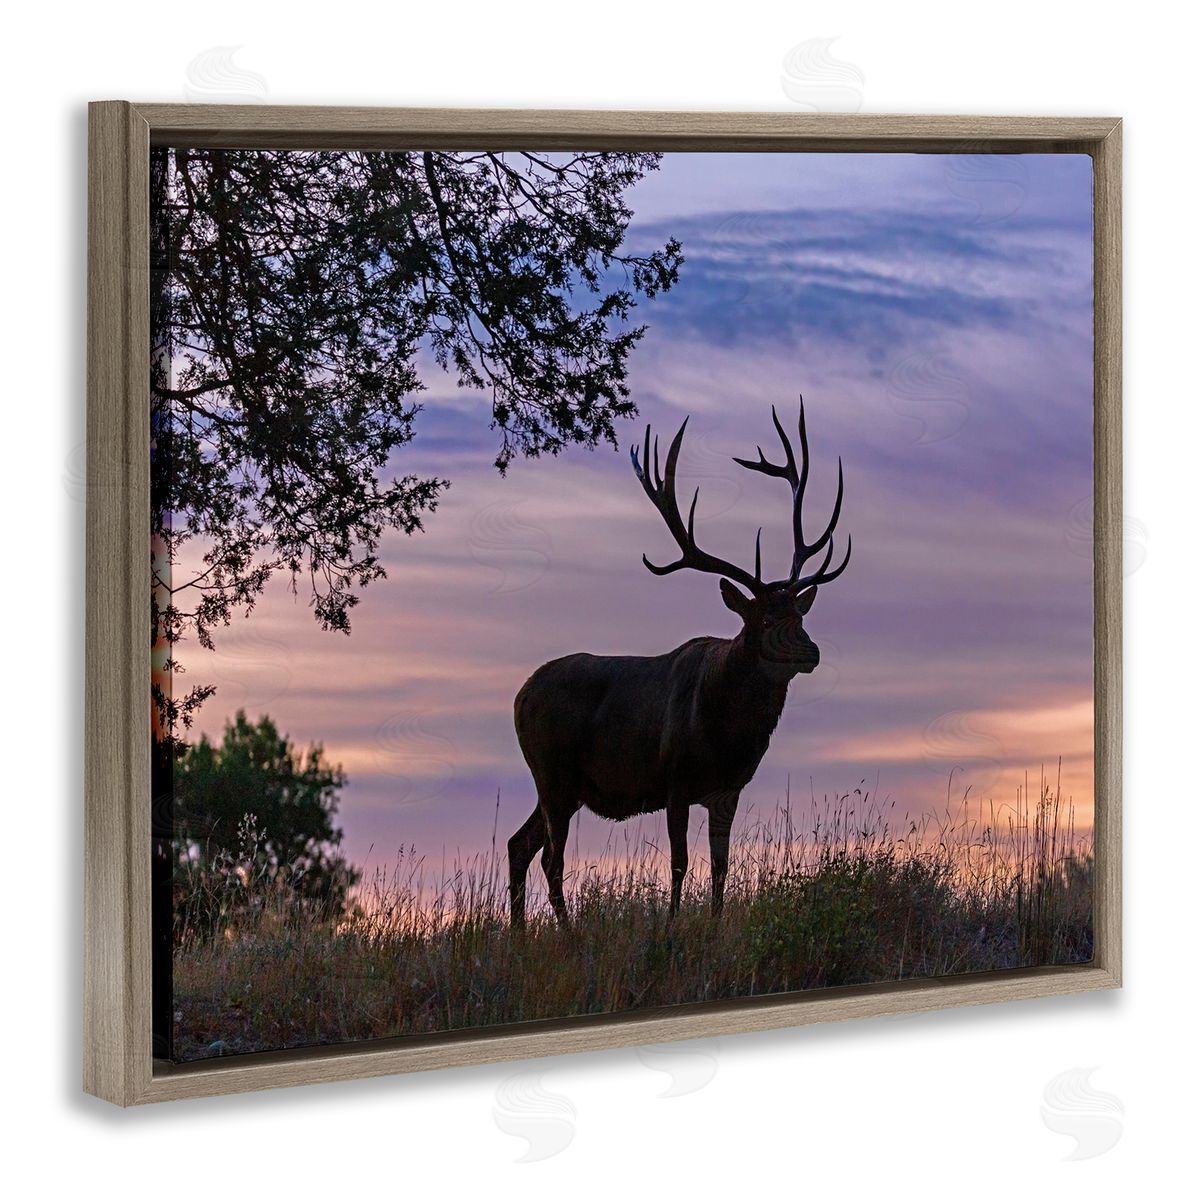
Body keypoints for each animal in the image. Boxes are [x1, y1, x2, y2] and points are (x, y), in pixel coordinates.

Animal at [508, 402, 851, 927]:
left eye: (800, 614)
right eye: (765, 618)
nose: (811, 652)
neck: (727, 734)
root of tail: (519, 696)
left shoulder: (727, 789)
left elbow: (721, 865)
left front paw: (713, 927)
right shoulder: (674, 779)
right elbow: (679, 862)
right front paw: (670, 928)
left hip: (560, 784)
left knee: (518, 843)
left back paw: (521, 934)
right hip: (552, 771)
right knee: (549, 856)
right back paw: (565, 934)